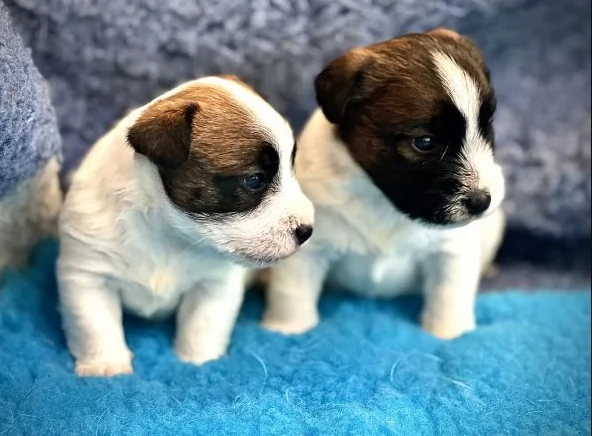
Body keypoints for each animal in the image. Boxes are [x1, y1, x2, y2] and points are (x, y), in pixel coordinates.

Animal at [57, 76, 314, 376]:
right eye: (254, 180)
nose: (308, 230)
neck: (168, 235)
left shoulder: (214, 285)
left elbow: (202, 327)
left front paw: (199, 363)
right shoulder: (87, 276)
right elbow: (95, 326)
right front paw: (107, 366)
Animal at [262, 29, 504, 338]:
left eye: (486, 126)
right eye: (424, 142)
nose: (482, 201)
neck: (381, 199)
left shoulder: (452, 251)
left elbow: (450, 295)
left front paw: (450, 333)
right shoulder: (308, 249)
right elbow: (292, 293)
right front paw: (288, 329)